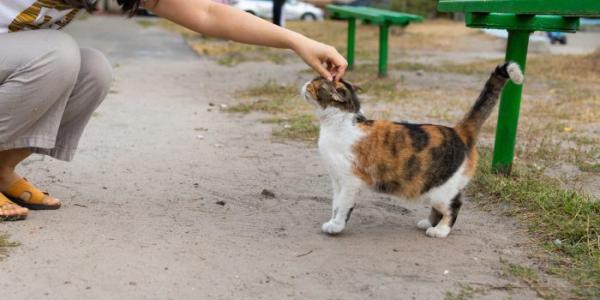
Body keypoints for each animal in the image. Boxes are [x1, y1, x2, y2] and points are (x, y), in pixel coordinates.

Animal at [302, 62, 524, 238]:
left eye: (314, 83)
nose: (305, 83)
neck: (340, 123)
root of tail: (458, 131)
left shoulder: (350, 180)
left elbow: (343, 206)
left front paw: (337, 226)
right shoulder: (337, 179)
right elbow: (335, 204)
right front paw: (332, 221)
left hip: (442, 190)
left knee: (454, 206)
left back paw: (440, 230)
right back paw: (428, 223)